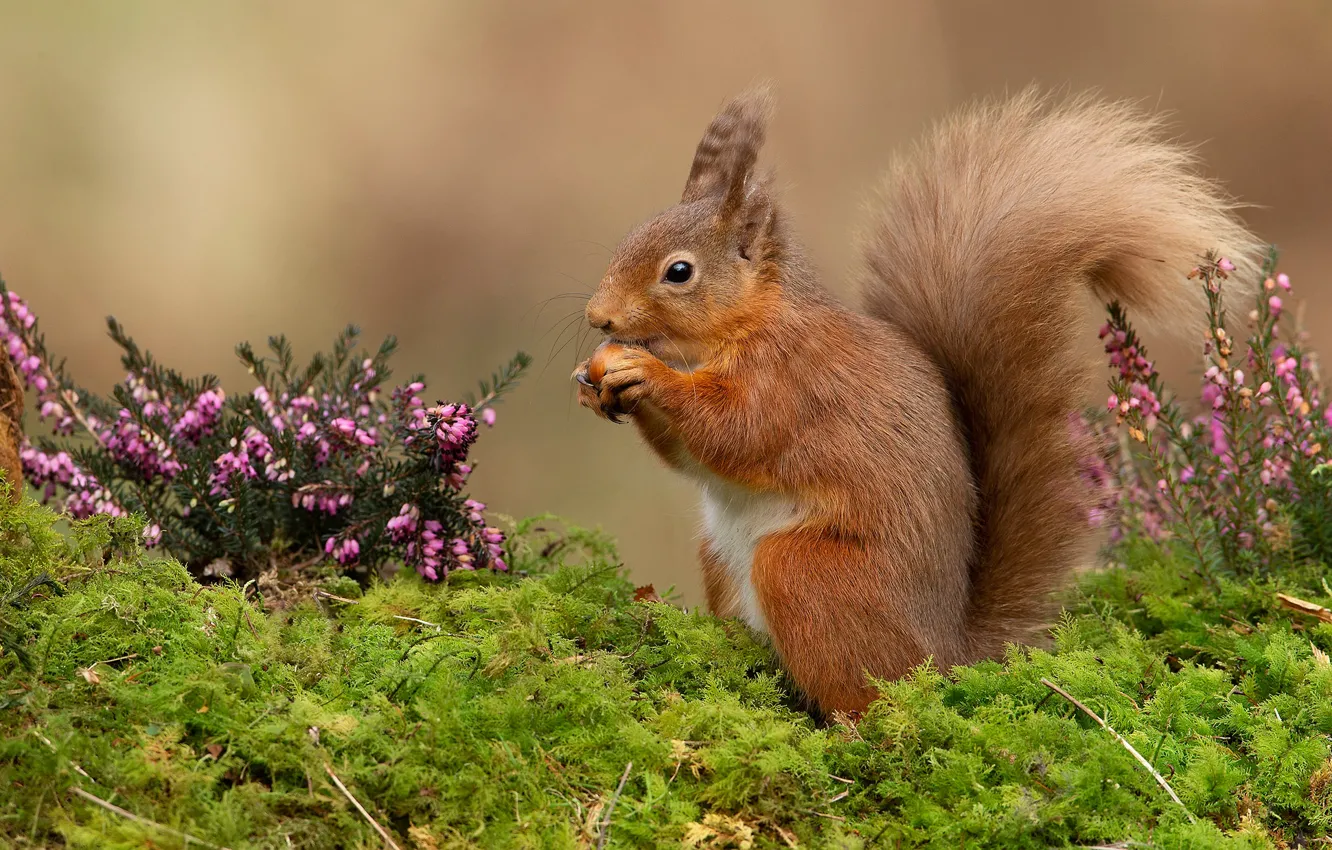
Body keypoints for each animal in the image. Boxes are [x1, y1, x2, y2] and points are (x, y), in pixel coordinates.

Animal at [572, 87, 1261, 714]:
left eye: (679, 272)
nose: (598, 318)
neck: (741, 326)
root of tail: (946, 651)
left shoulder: (793, 381)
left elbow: (736, 431)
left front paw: (646, 374)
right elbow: (690, 457)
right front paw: (595, 381)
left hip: (807, 574)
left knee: (869, 694)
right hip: (720, 557)